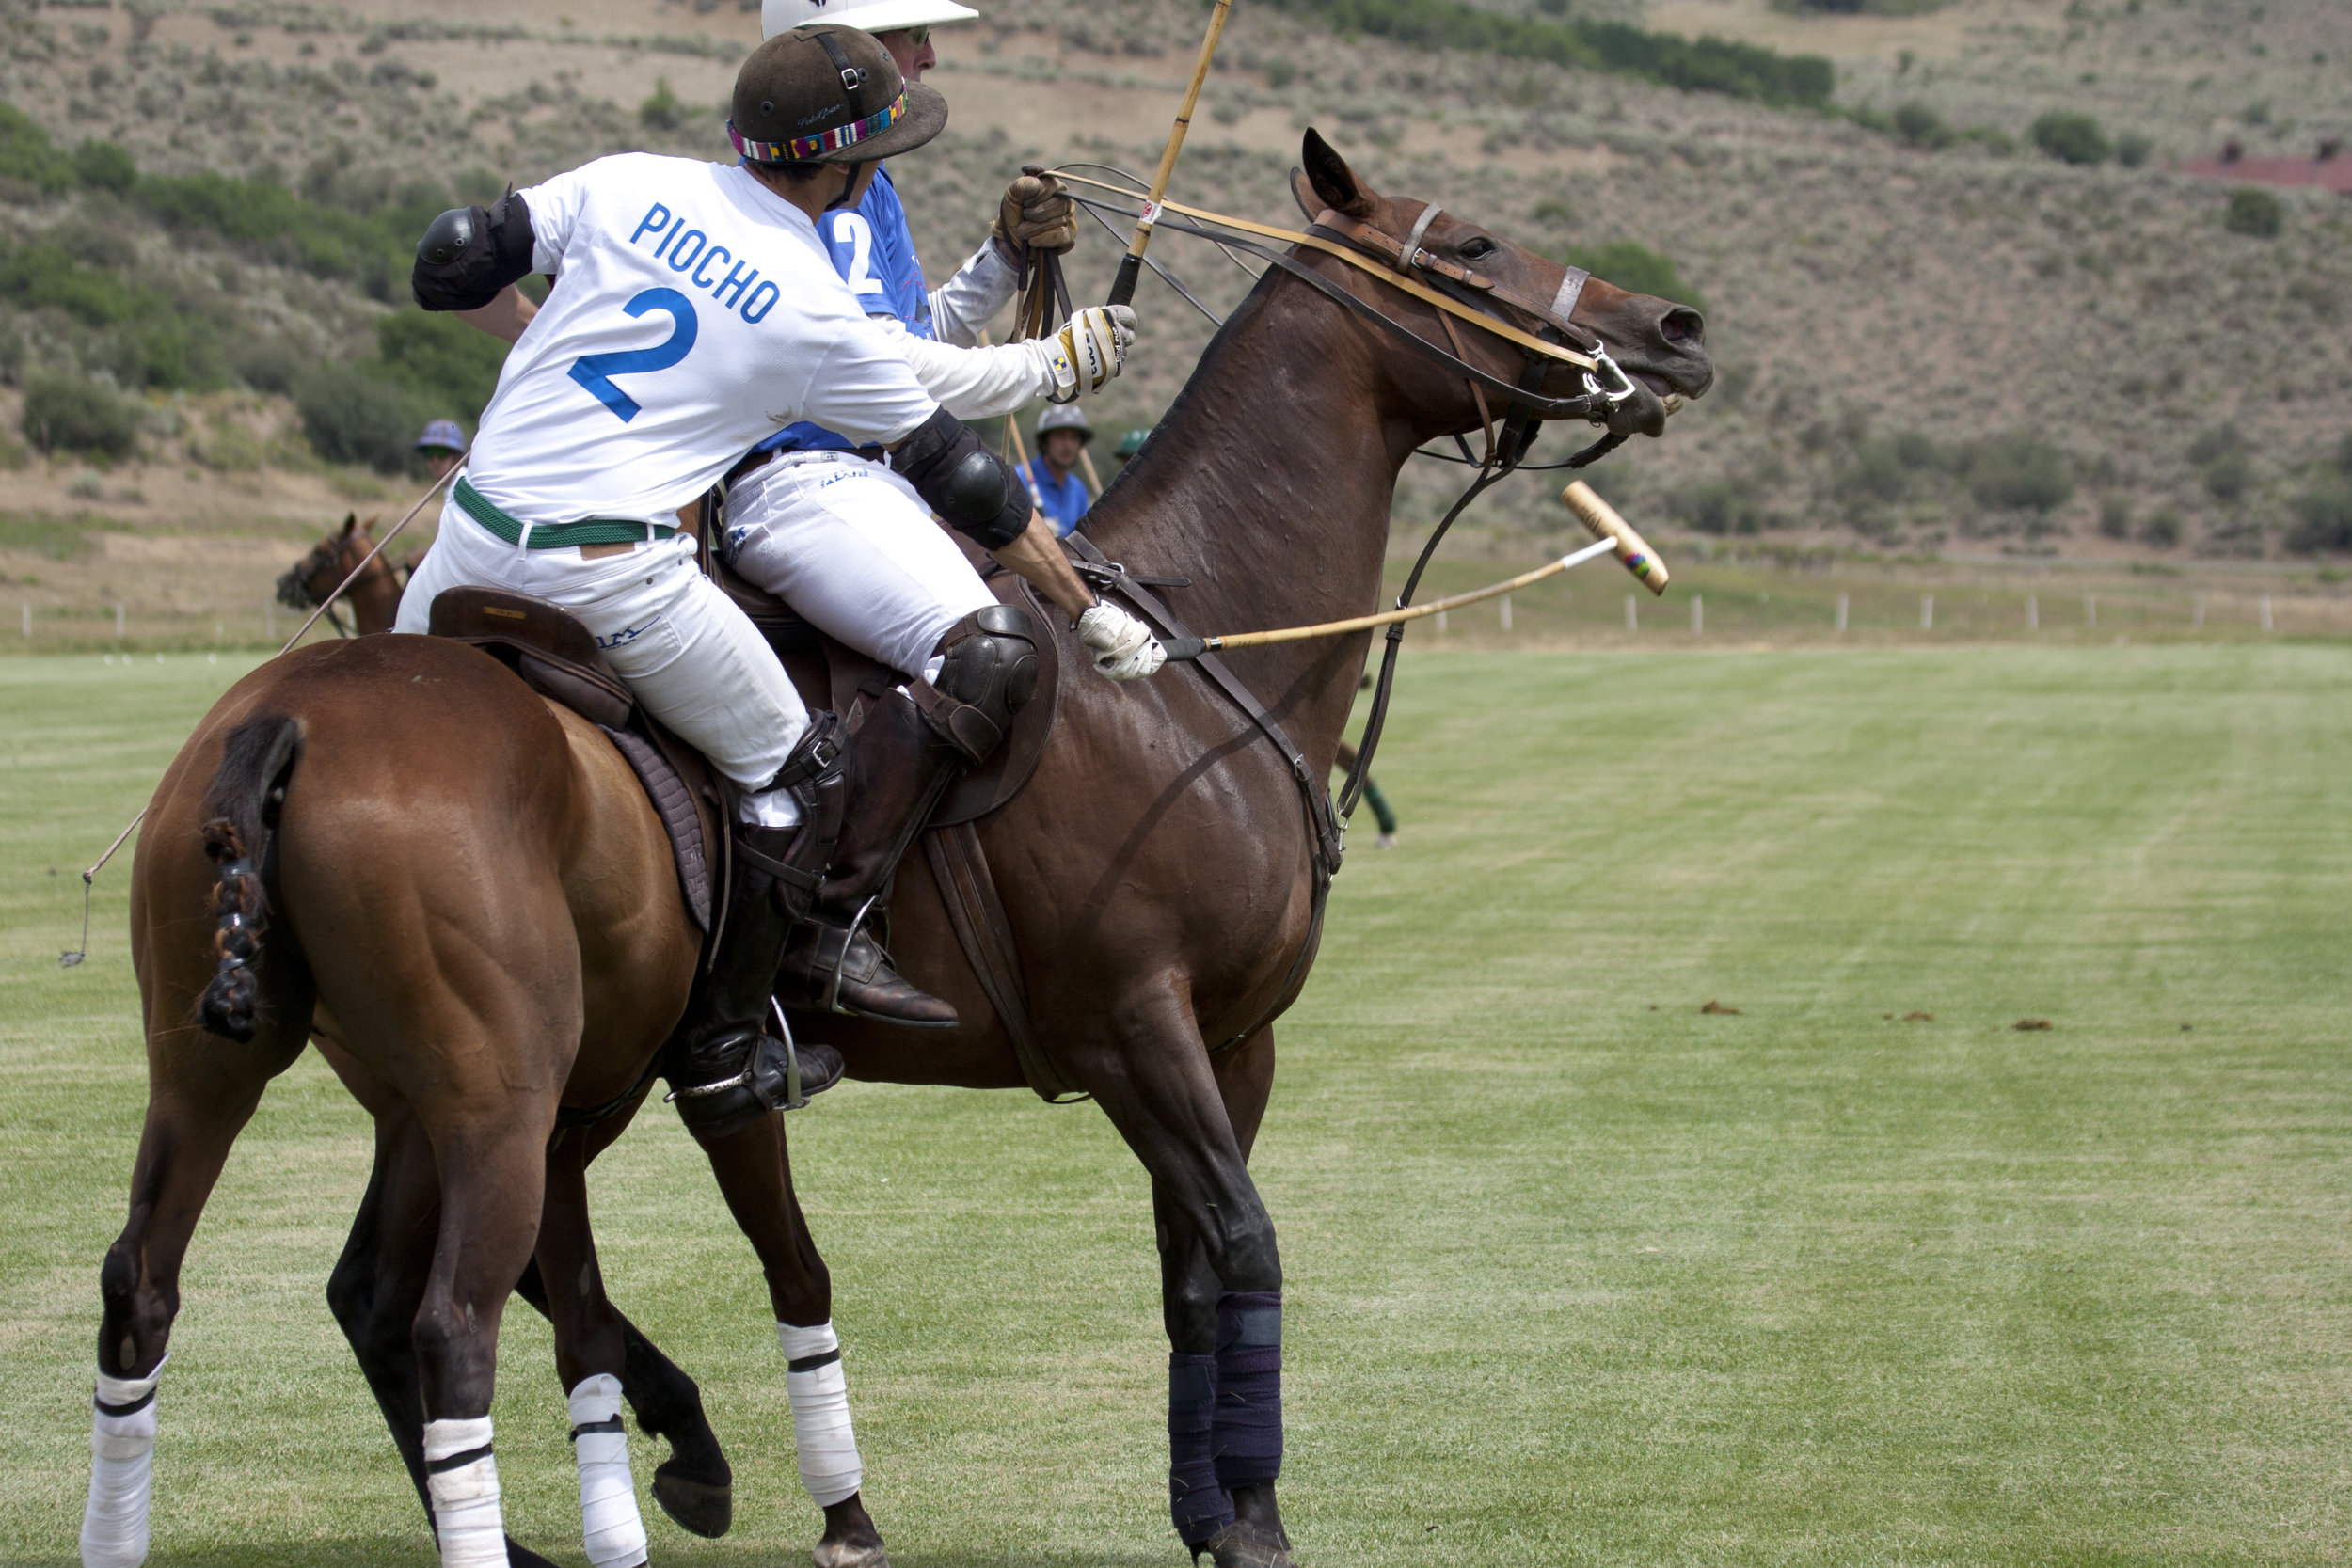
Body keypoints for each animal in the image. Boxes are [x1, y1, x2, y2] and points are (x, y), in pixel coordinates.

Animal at [96, 135, 1712, 1568]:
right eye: (1472, 243)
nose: (1677, 329)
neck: (1202, 645)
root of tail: (287, 718)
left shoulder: (1235, 1039)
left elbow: (1192, 1267)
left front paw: (1209, 1505)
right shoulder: (1137, 1022)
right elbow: (1244, 1242)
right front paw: (1253, 1519)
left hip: (317, 1066)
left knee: (246, 1282)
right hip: (507, 1079)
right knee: (443, 1310)